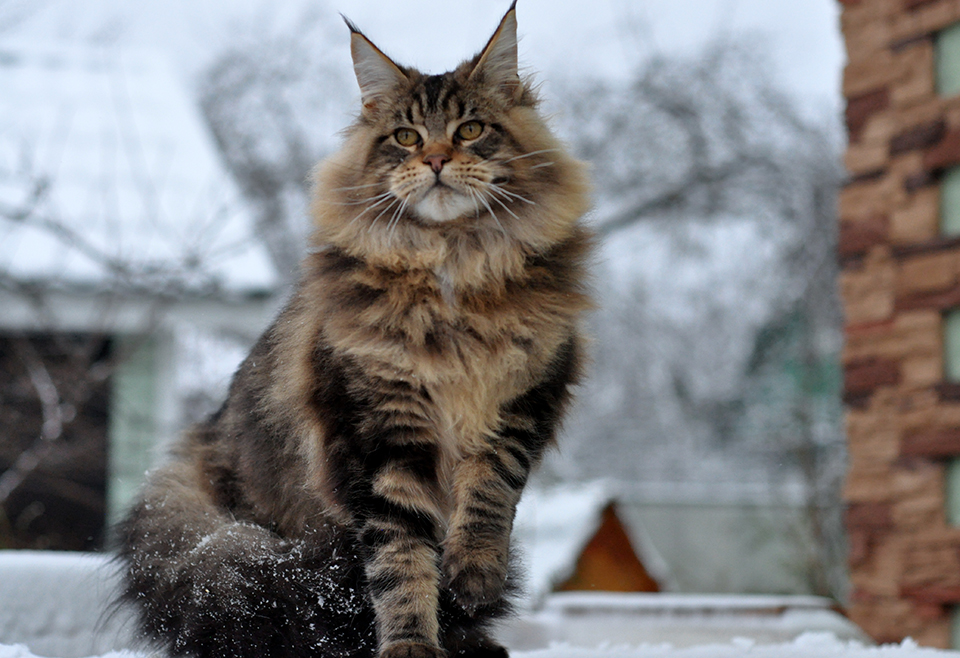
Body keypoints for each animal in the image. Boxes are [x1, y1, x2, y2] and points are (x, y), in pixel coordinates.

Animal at [116, 5, 588, 656]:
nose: (436, 160)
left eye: (470, 130)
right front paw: (410, 644)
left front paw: (474, 573)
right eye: (406, 137)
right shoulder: (379, 432)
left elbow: (489, 496)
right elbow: (401, 557)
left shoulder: (523, 401)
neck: (451, 269)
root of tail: (201, 445)